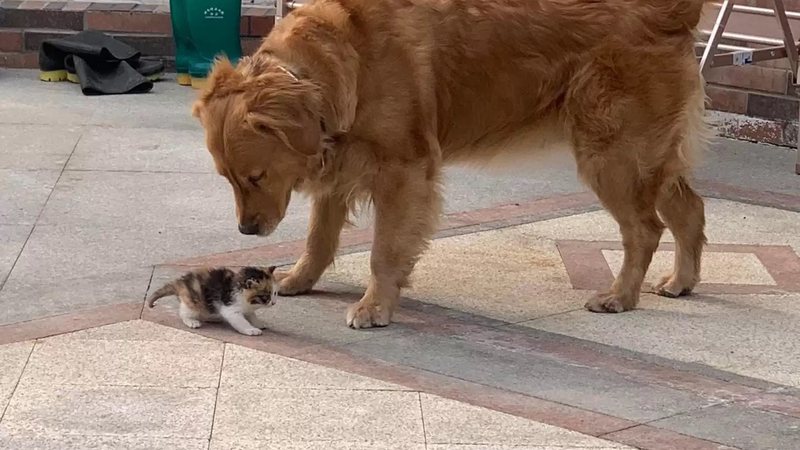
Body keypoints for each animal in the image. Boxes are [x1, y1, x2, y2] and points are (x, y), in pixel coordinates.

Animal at [147, 266, 278, 336]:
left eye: (275, 293)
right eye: (265, 296)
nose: (274, 303)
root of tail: (181, 282)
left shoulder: (247, 307)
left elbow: (251, 315)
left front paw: (258, 323)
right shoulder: (230, 308)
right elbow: (241, 322)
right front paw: (251, 330)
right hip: (195, 300)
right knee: (184, 312)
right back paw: (191, 321)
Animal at [191, 0, 708, 330]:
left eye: (256, 176)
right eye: (227, 179)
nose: (246, 230)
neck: (343, 61)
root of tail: (671, 12)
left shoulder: (403, 170)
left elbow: (384, 251)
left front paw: (375, 306)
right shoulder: (341, 161)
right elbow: (320, 236)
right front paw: (299, 279)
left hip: (612, 154)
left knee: (645, 229)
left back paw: (620, 296)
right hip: (648, 156)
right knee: (690, 210)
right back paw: (680, 282)